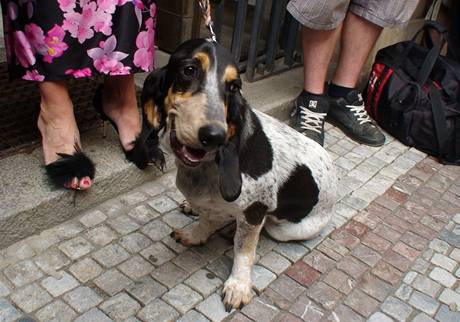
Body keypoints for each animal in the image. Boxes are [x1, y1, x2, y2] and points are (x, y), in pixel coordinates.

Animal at [141, 39, 338, 310]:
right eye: (189, 70)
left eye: (234, 87)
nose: (215, 136)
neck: (205, 168)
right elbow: (206, 220)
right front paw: (196, 235)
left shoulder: (254, 211)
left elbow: (244, 250)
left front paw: (238, 286)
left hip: (287, 229)